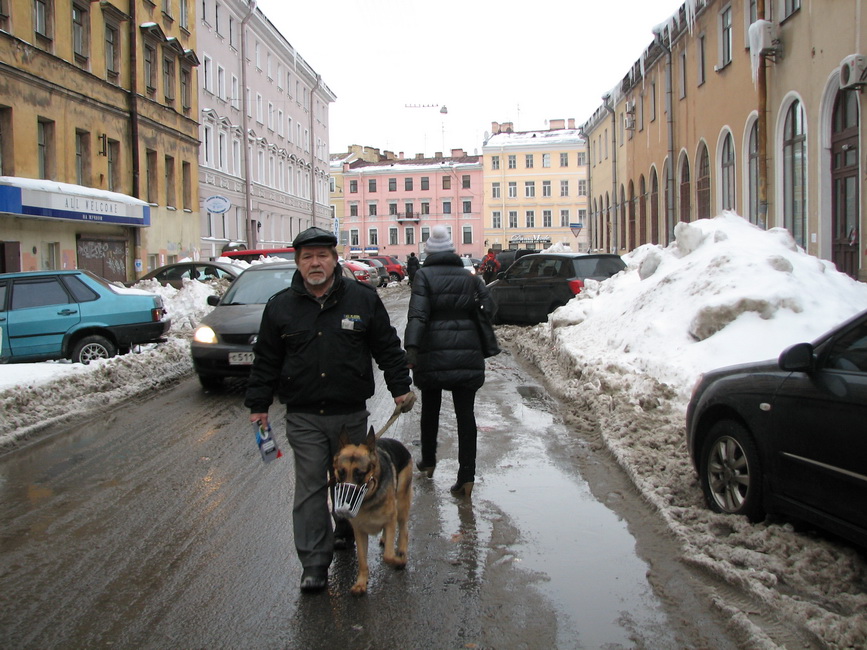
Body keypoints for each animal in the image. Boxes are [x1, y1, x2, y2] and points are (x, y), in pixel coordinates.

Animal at [332, 426, 414, 592]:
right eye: (341, 472)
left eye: (360, 473)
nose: (344, 507)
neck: (368, 499)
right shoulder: (359, 532)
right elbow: (362, 560)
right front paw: (361, 583)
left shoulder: (390, 520)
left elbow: (388, 556)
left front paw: (399, 561)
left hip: (401, 505)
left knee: (404, 529)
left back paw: (401, 550)